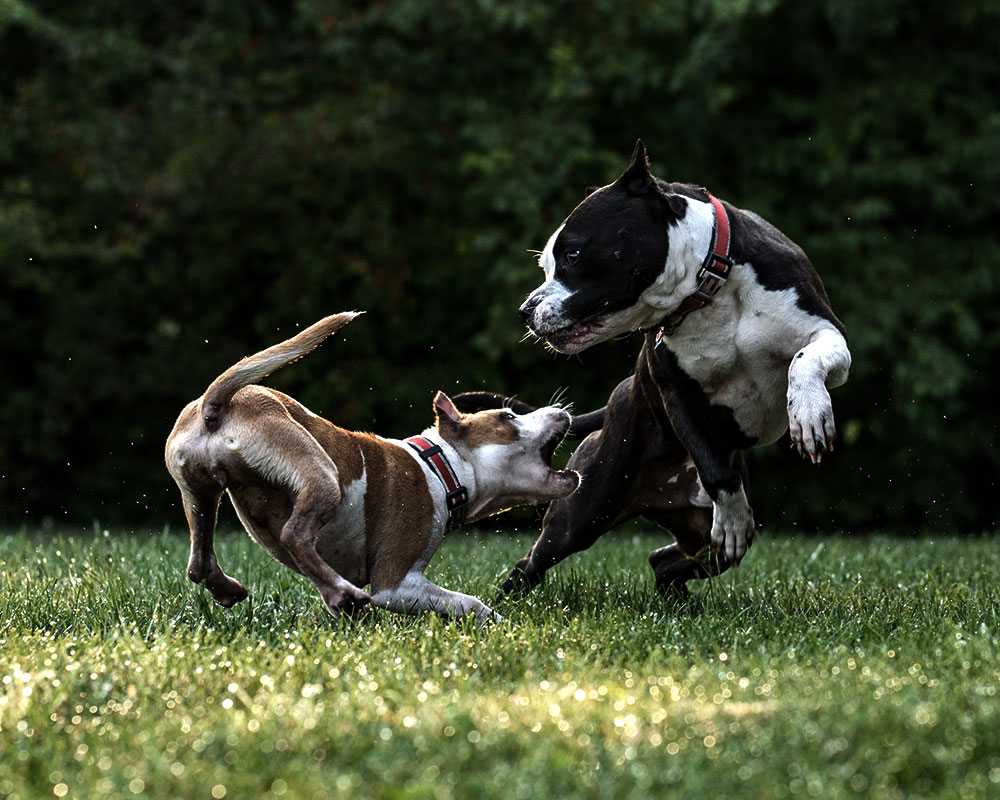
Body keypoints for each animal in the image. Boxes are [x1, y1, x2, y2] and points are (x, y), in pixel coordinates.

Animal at [164, 312, 580, 624]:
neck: (441, 466)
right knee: (294, 533)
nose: (562, 410)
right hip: (320, 473)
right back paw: (342, 592)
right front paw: (501, 626)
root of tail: (217, 404)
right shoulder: (396, 584)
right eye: (508, 417)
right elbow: (471, 604)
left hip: (199, 493)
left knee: (199, 562)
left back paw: (236, 589)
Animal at [462, 141, 852, 596]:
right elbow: (716, 472)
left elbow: (805, 360)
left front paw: (808, 414)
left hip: (696, 535)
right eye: (546, 265)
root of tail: (619, 395)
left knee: (667, 560)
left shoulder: (827, 332)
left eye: (573, 255)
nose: (525, 310)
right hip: (584, 510)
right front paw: (733, 518)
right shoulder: (675, 392)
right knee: (535, 561)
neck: (709, 287)